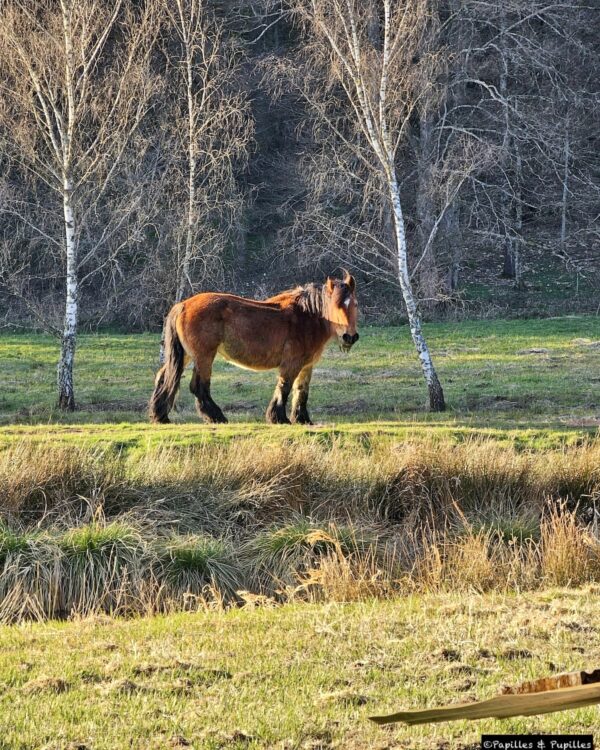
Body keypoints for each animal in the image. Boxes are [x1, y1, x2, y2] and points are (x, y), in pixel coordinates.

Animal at [149, 271, 359, 425]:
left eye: (355, 304)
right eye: (335, 305)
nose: (350, 336)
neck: (307, 316)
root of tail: (183, 305)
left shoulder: (307, 366)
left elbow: (301, 391)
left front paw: (302, 420)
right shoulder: (291, 363)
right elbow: (284, 387)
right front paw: (278, 418)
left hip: (186, 355)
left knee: (163, 378)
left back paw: (160, 416)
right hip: (203, 356)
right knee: (199, 386)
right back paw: (216, 417)